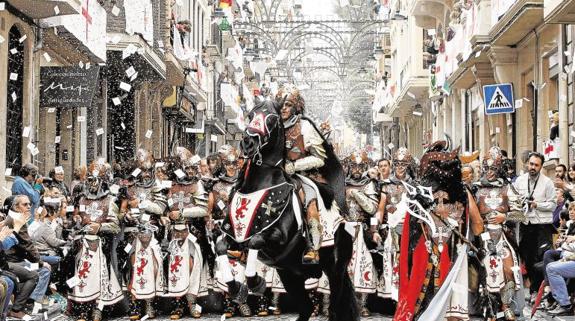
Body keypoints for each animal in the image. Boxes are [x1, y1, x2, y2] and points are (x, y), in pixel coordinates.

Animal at [216, 99, 358, 318]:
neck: (260, 185)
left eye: (272, 119)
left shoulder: (279, 238)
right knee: (306, 308)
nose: (248, 143)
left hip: (335, 271)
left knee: (335, 309)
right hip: (290, 275)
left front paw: (254, 282)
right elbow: (220, 246)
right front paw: (234, 287)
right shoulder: (234, 234)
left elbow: (256, 241)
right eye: (251, 115)